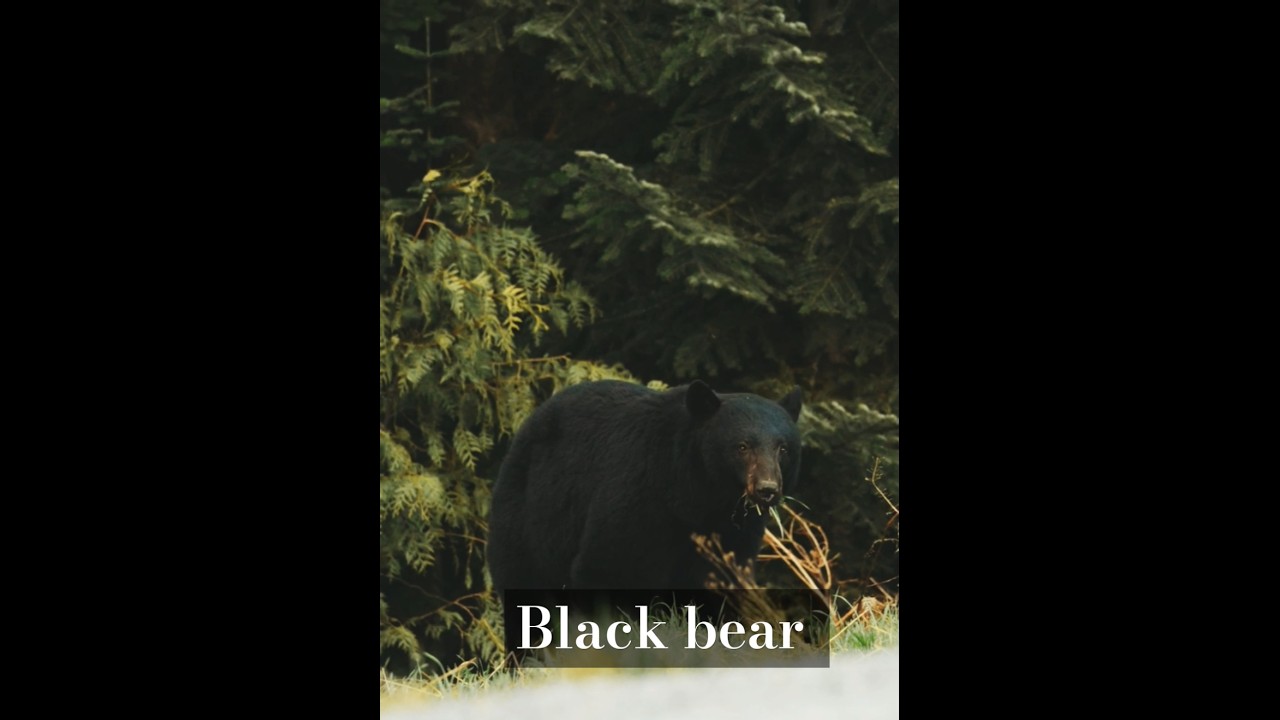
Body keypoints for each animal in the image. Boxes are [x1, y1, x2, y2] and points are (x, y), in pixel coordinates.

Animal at [487, 379, 803, 590]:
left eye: (783, 448)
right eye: (742, 446)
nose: (767, 489)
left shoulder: (735, 527)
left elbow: (724, 575)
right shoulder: (640, 491)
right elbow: (608, 564)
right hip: (529, 517)